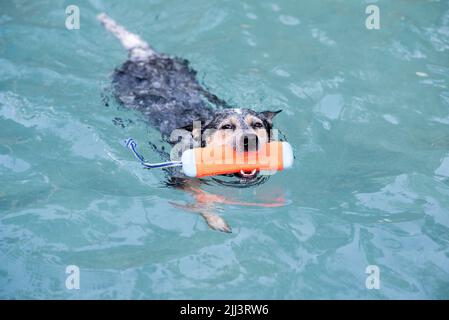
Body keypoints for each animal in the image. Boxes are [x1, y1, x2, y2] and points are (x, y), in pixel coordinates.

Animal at [99, 13, 284, 231]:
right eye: (227, 126)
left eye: (257, 125)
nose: (250, 139)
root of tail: (143, 56)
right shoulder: (179, 176)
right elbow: (201, 195)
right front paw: (216, 219)